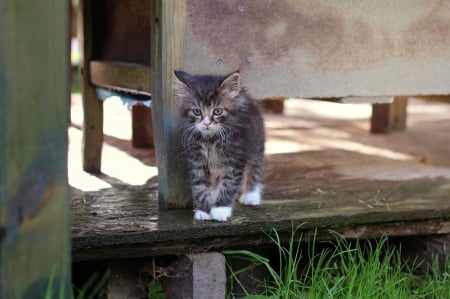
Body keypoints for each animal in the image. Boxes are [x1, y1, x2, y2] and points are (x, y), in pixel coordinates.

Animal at [174, 69, 266, 220]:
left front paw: (220, 209)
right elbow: (200, 186)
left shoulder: (235, 159)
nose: (206, 123)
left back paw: (251, 195)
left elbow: (229, 184)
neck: (211, 141)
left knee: (255, 168)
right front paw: (204, 211)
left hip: (256, 144)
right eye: (197, 111)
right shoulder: (197, 161)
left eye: (218, 111)